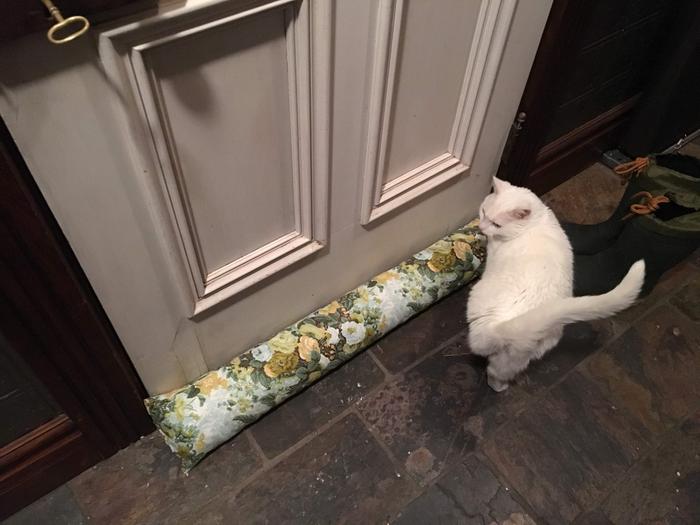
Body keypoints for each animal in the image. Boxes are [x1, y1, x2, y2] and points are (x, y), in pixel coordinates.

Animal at [468, 178, 644, 390]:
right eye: (483, 212)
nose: (481, 228)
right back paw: (503, 387)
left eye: (496, 224)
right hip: (517, 357)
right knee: (501, 372)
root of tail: (515, 326)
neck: (536, 221)